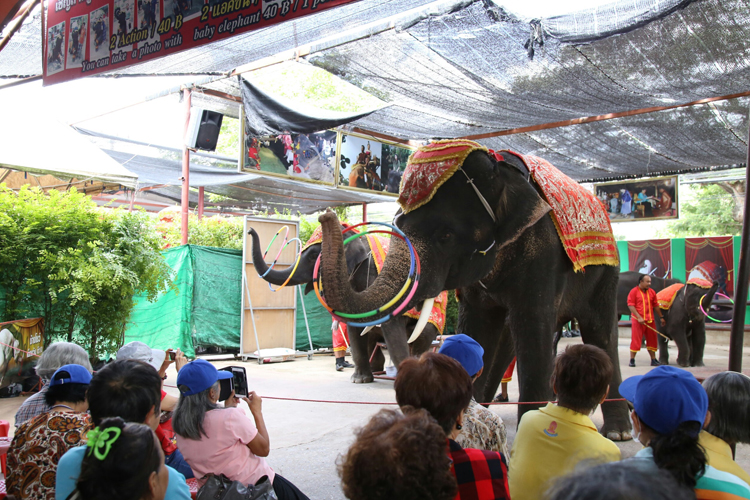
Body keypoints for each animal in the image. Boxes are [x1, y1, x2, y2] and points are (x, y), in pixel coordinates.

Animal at [247, 227, 441, 381]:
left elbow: (389, 325)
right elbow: (354, 329)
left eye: (313, 256)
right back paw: (376, 371)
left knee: (422, 335)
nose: (249, 231)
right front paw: (359, 380)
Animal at [317, 144, 631, 440]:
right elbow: (477, 325)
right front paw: (462, 409)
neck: (500, 173)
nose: (326, 214)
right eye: (399, 224)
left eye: (445, 235)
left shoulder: (545, 256)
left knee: (600, 331)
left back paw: (618, 432)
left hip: (606, 272)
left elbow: (533, 326)